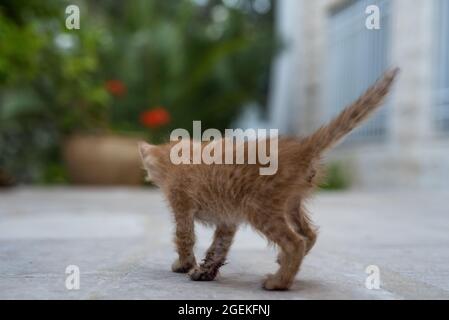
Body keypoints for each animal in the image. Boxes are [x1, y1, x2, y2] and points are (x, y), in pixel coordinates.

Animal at [138, 67, 398, 290]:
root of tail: (302, 147)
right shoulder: (227, 219)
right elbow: (219, 246)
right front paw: (205, 271)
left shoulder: (181, 203)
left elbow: (184, 237)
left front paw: (182, 265)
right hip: (290, 204)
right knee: (309, 234)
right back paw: (284, 263)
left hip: (259, 207)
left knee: (295, 242)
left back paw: (278, 282)